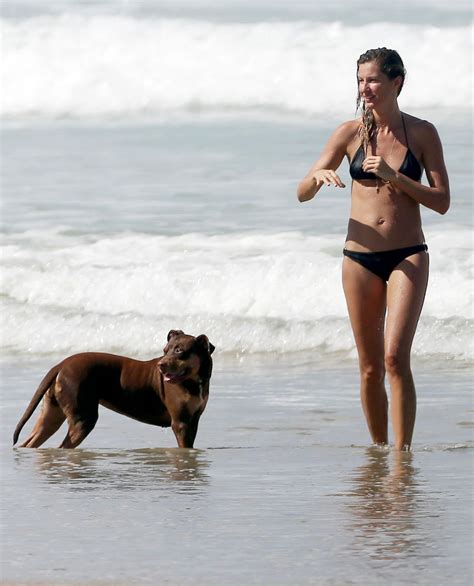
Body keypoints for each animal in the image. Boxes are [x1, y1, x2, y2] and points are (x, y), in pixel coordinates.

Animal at [12, 328, 215, 448]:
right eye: (165, 350)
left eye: (180, 351)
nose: (161, 365)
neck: (195, 380)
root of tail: (61, 365)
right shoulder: (181, 423)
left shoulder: (193, 421)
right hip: (83, 417)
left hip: (52, 414)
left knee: (31, 441)